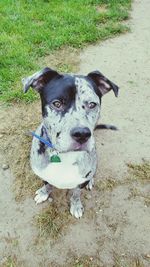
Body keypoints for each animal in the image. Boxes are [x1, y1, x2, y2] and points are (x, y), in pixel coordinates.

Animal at [22, 67, 119, 220]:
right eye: (57, 103)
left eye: (92, 104)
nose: (82, 134)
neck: (65, 157)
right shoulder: (44, 174)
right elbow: (48, 184)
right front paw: (44, 193)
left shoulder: (79, 182)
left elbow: (76, 193)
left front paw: (76, 205)